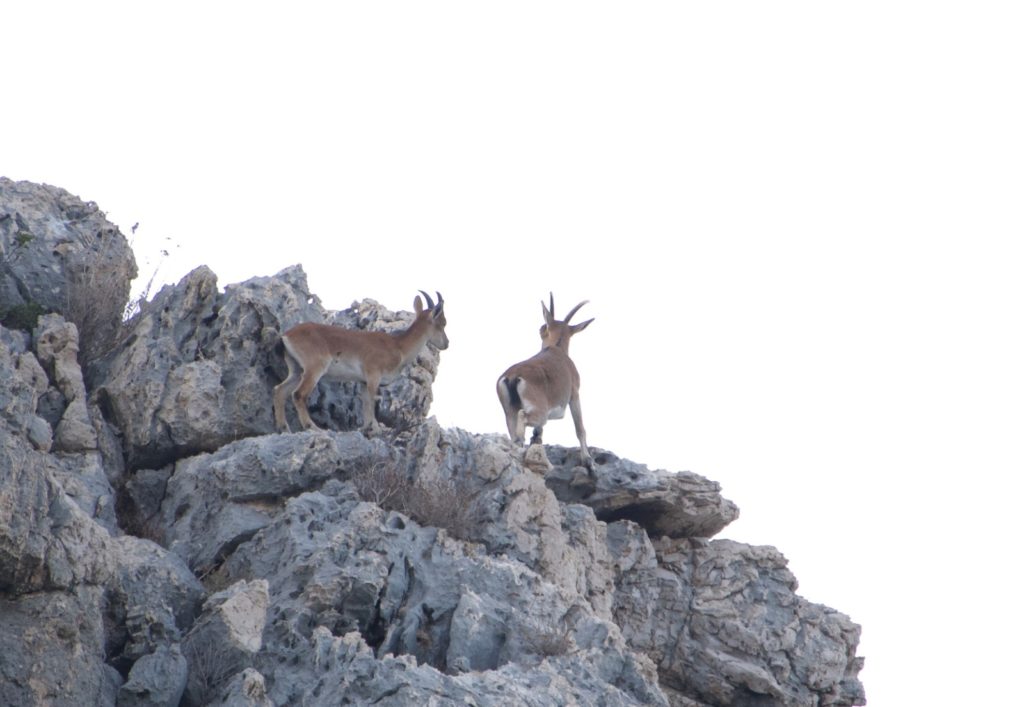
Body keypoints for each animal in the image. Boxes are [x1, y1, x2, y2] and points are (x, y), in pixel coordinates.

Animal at [272, 288, 448, 432]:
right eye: (443, 323)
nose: (446, 343)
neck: (398, 346)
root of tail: (287, 335)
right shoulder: (373, 375)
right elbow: (371, 402)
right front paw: (375, 430)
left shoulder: (363, 382)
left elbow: (365, 405)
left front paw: (366, 429)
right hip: (314, 368)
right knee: (298, 394)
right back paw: (312, 427)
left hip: (296, 370)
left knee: (279, 390)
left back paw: (283, 428)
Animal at [495, 290, 593, 467]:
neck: (557, 348)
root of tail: (513, 376)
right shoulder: (574, 394)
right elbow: (580, 428)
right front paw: (588, 460)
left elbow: (538, 435)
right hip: (539, 411)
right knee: (523, 418)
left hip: (508, 411)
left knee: (514, 430)